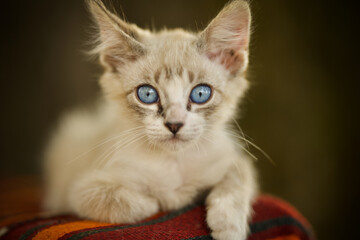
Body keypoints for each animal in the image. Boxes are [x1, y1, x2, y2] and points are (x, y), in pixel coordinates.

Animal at [43, 0, 258, 239]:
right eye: (147, 94)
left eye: (201, 94)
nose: (174, 124)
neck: (174, 161)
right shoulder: (80, 191)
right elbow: (139, 204)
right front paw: (165, 200)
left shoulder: (235, 161)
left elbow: (235, 184)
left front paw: (228, 229)